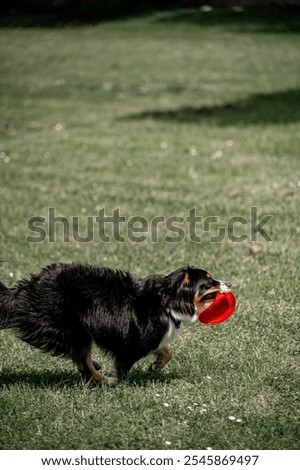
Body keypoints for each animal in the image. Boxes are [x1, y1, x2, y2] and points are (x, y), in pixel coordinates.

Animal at [0, 262, 231, 384]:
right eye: (209, 281)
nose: (228, 282)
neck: (167, 300)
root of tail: (24, 291)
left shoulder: (150, 339)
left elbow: (166, 351)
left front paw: (155, 366)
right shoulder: (135, 341)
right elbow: (124, 365)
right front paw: (120, 380)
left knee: (81, 360)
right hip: (73, 329)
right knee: (83, 361)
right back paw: (105, 380)